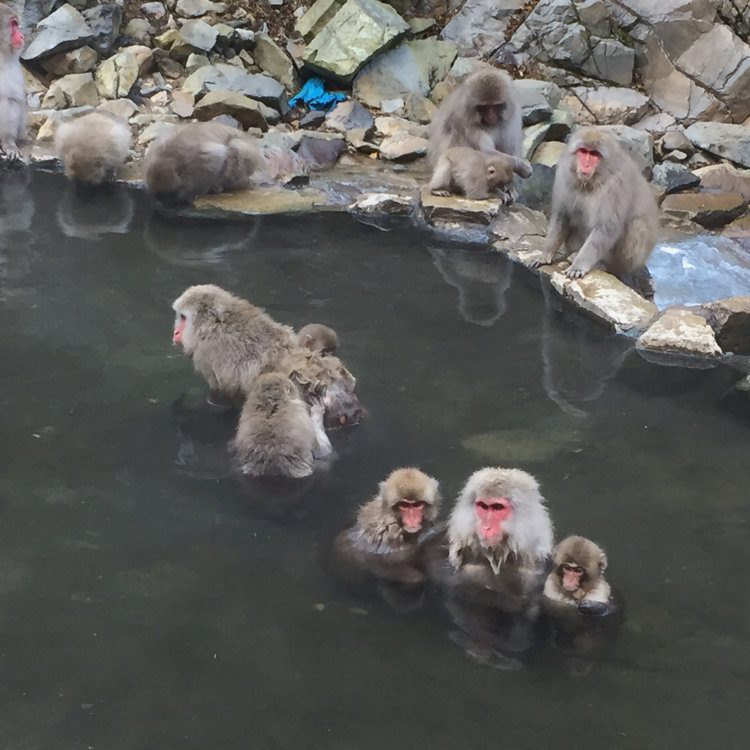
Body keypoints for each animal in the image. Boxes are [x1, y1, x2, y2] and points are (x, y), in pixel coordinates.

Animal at [532, 126, 659, 288]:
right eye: (583, 151)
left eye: (594, 154)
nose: (586, 165)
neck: (592, 181)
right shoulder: (564, 175)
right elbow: (562, 215)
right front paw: (546, 253)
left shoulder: (615, 187)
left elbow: (606, 228)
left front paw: (579, 265)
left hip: (629, 261)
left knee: (637, 226)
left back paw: (602, 264)